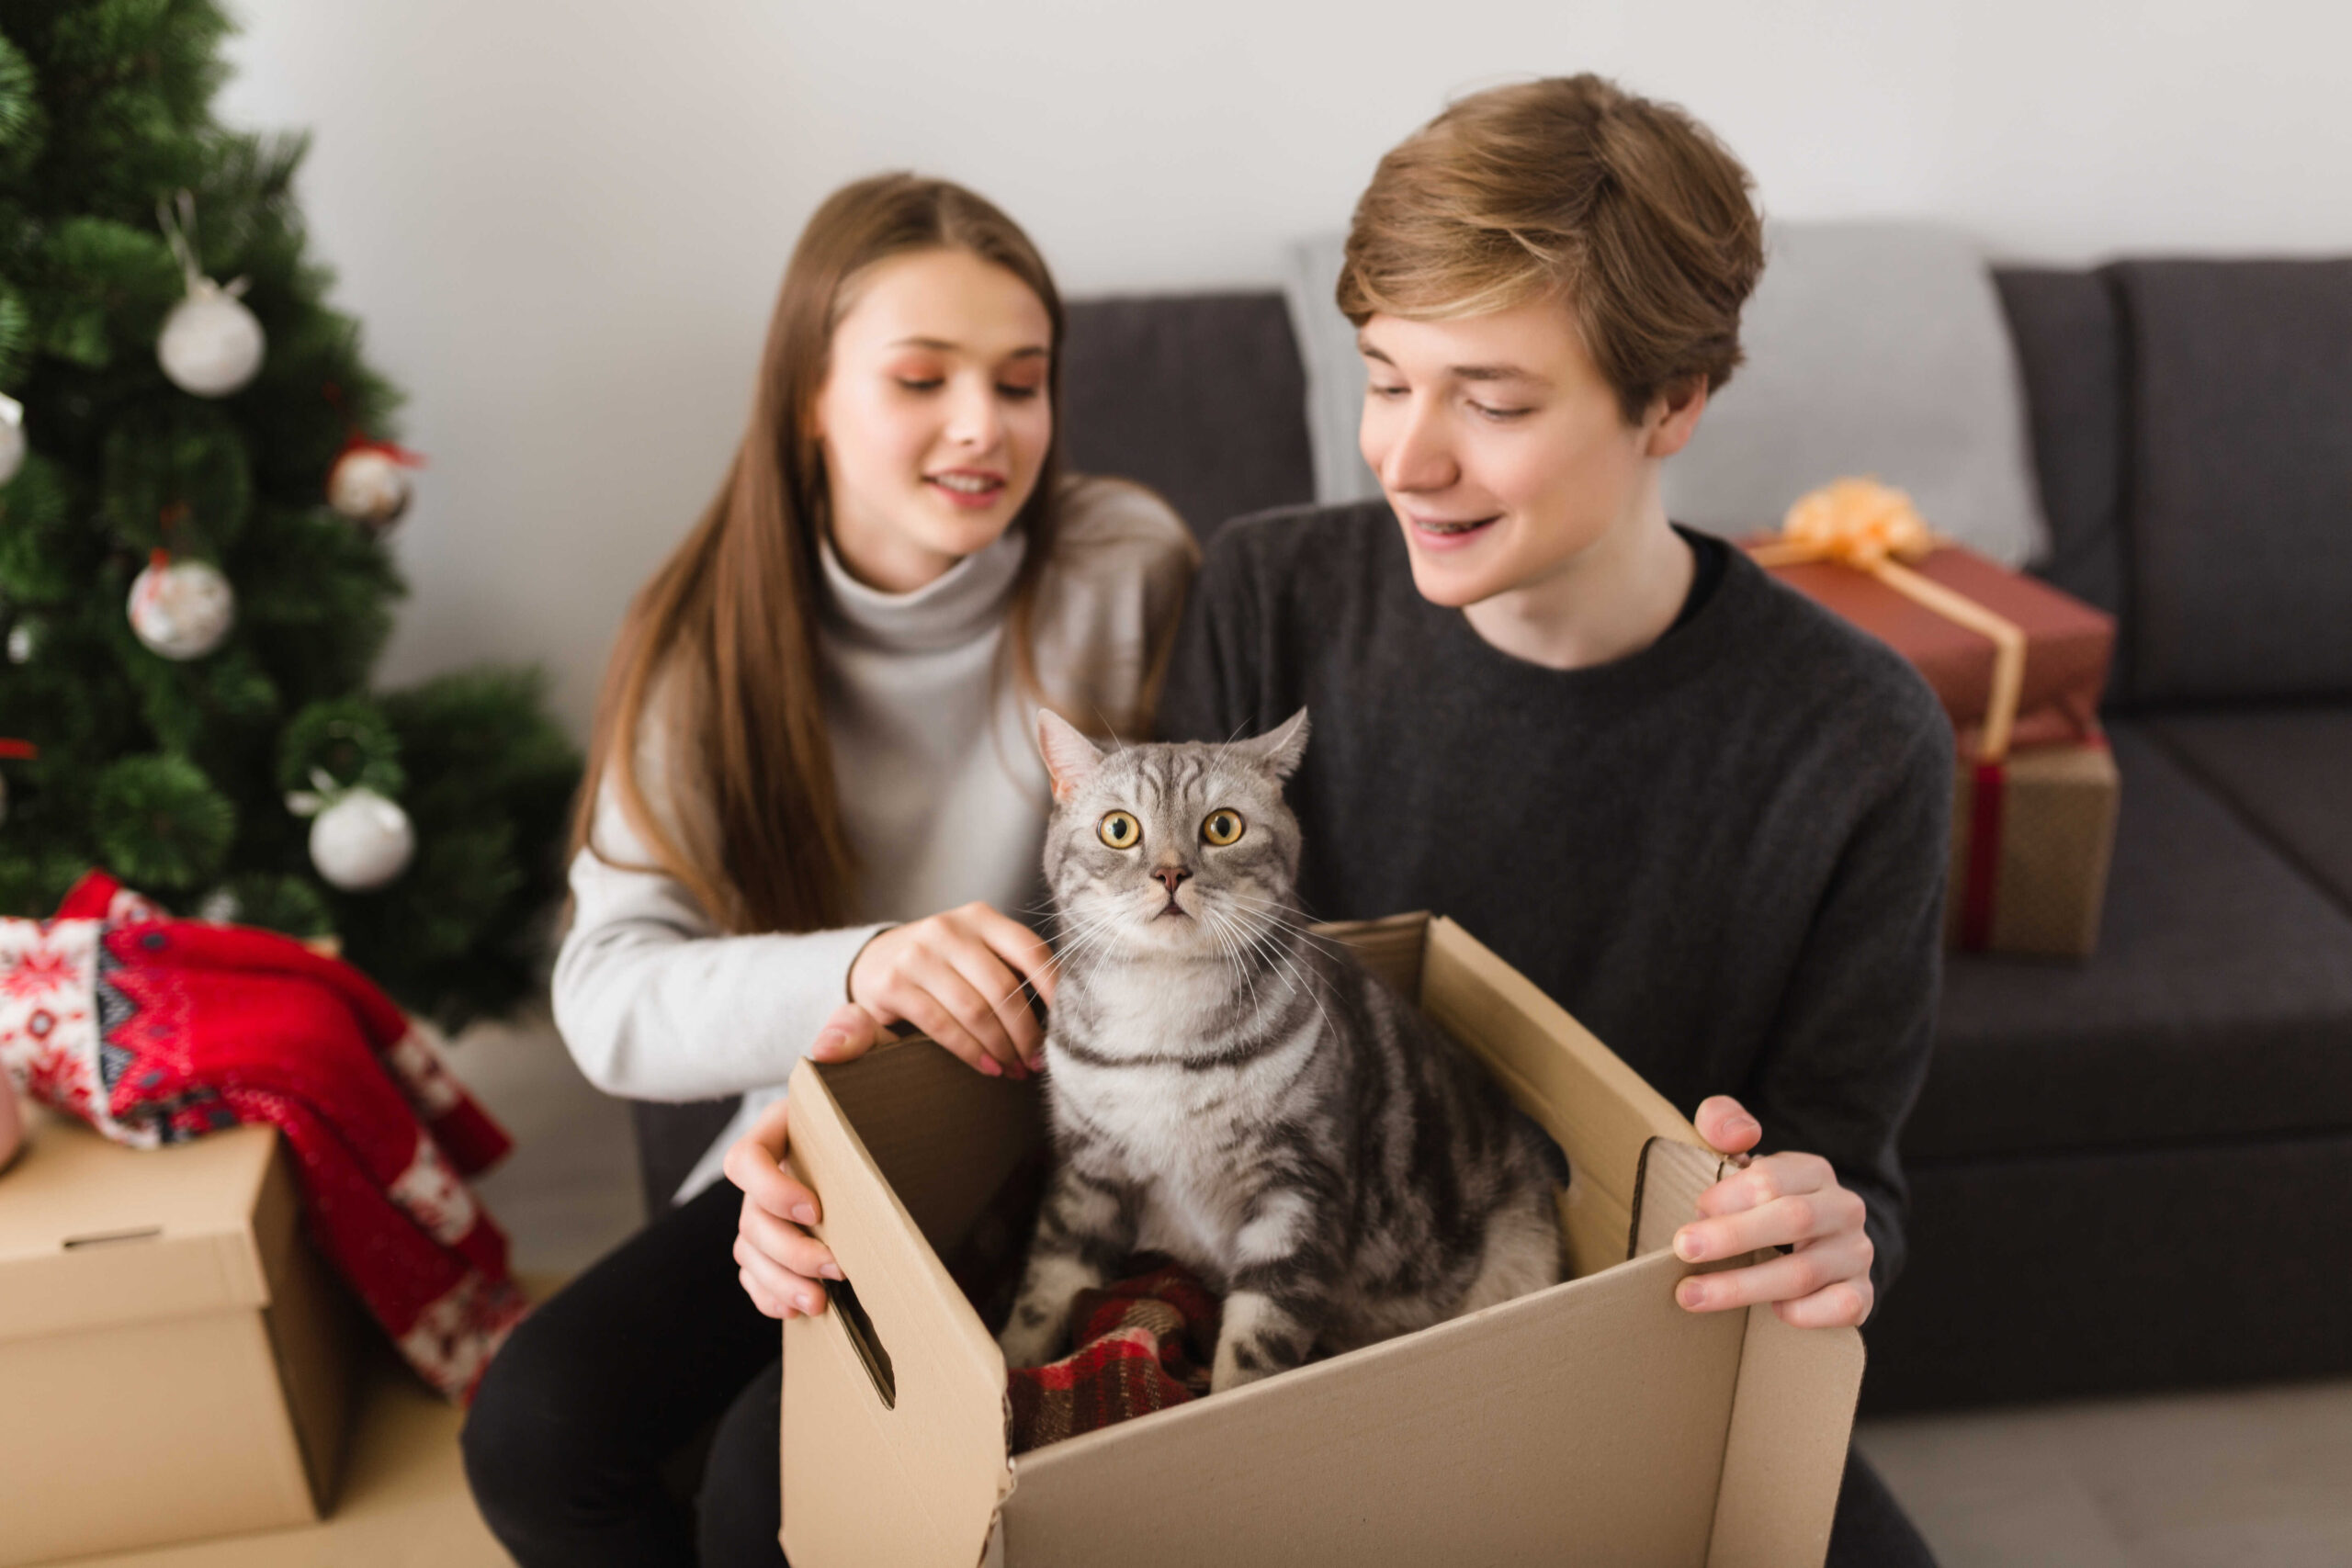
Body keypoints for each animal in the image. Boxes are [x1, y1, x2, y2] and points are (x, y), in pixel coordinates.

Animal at [992, 705, 1561, 1392]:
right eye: (1119, 829)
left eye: (1223, 826)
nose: (1170, 872)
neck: (1164, 1019)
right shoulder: (1088, 1174)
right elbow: (1045, 1286)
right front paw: (1012, 1368)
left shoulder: (1298, 1192)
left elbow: (1255, 1350)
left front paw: (1221, 1402)